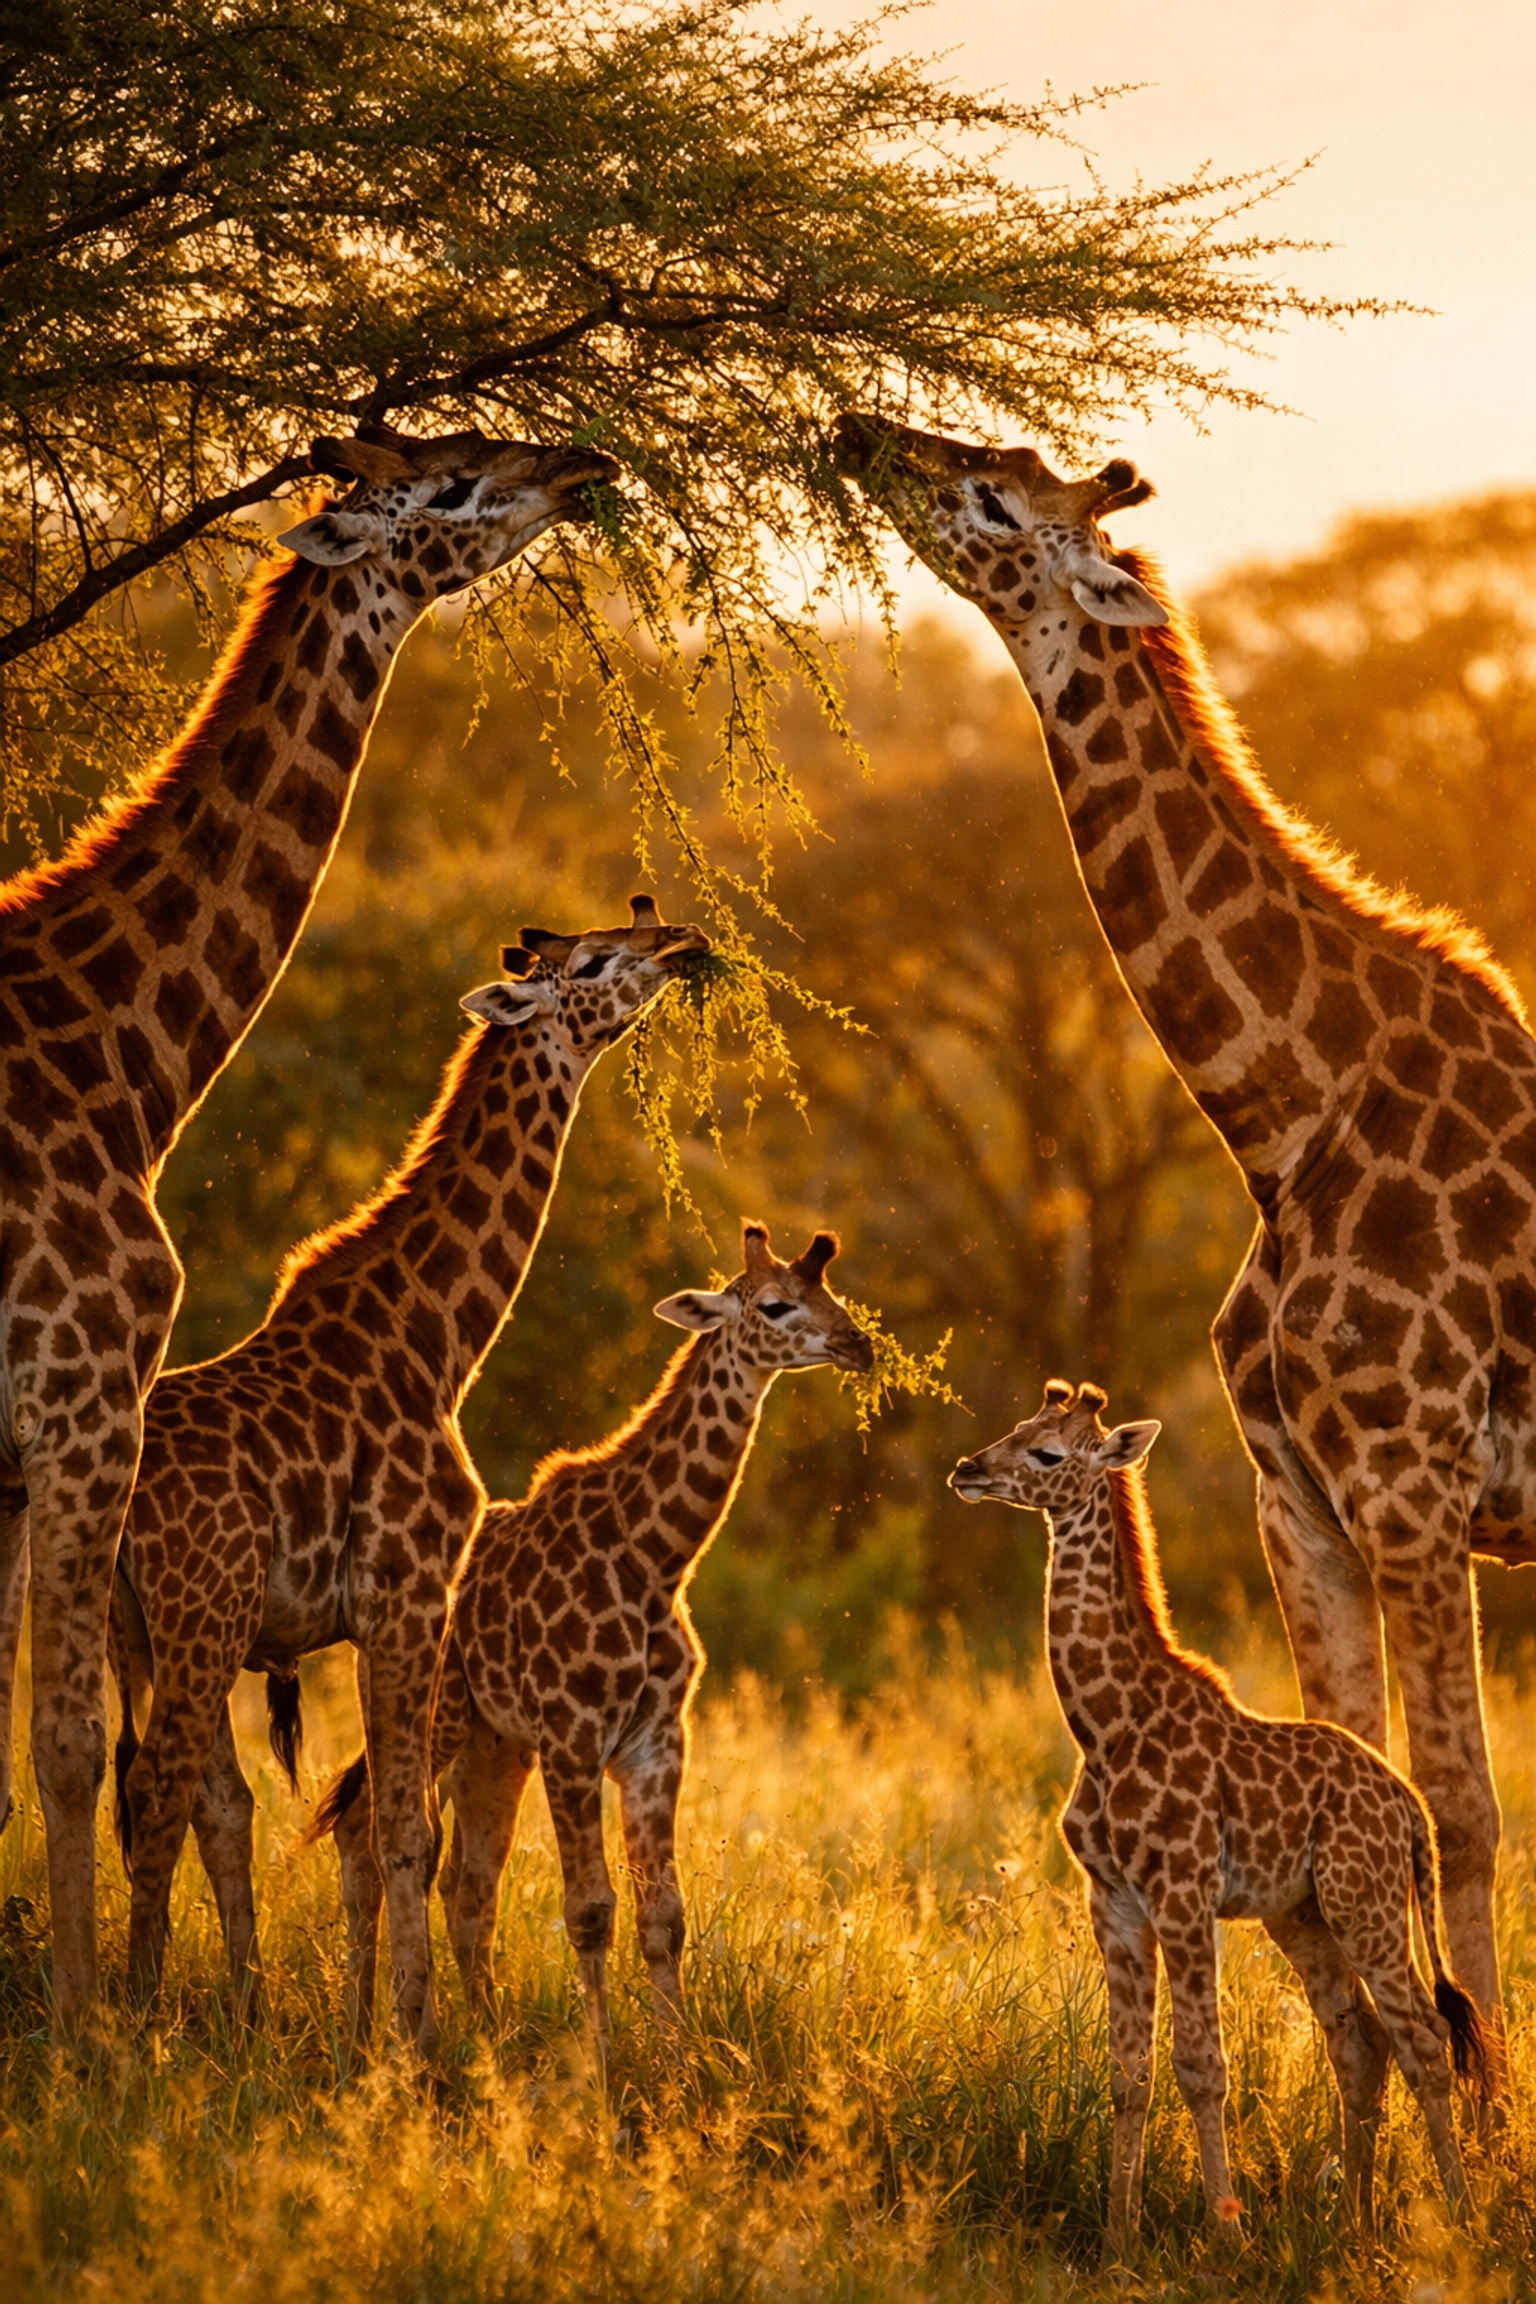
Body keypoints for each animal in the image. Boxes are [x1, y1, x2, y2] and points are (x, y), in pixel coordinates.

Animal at [0, 420, 616, 2037]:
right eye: (448, 486)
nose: (578, 464)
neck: (119, 1059)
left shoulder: (23, 1454)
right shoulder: (79, 1401)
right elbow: (75, 1751)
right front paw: (90, 2038)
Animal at [108, 897, 708, 2051]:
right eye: (593, 964)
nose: (679, 943)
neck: (438, 1339)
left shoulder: (365, 1615)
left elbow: (380, 1830)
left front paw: (377, 2036)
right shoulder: (408, 1590)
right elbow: (403, 1836)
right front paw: (417, 2045)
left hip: (148, 1628)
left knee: (196, 1797)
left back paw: (235, 2015)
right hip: (199, 1613)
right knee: (158, 1792)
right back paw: (133, 2026)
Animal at [306, 1221, 873, 2063]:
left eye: (830, 1291)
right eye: (775, 1304)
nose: (856, 1344)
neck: (655, 1554)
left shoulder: (655, 1742)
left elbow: (662, 1915)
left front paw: (679, 2061)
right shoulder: (572, 1736)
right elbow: (589, 1910)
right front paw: (602, 2064)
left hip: (493, 1744)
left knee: (468, 1882)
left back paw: (488, 2036)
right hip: (440, 1718)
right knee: (368, 1835)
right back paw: (361, 2038)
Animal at [836, 412, 1536, 2084]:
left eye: (992, 497)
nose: (856, 433)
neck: (1287, 1118)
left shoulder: (1412, 1484)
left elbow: (1463, 1815)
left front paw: (1485, 2110)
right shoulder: (1305, 1502)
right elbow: (1367, 1778)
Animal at [951, 1381, 1487, 2252]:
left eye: (1046, 1453)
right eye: (1020, 1427)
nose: (968, 1469)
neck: (1104, 1723)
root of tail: (1408, 1810)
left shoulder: (1182, 1893)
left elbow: (1203, 2068)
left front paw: (1226, 2241)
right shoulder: (1115, 1903)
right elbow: (1128, 2074)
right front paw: (1119, 2238)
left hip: (1365, 1903)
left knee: (1424, 2036)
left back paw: (1464, 2216)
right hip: (1302, 1915)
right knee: (1361, 2041)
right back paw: (1355, 2220)